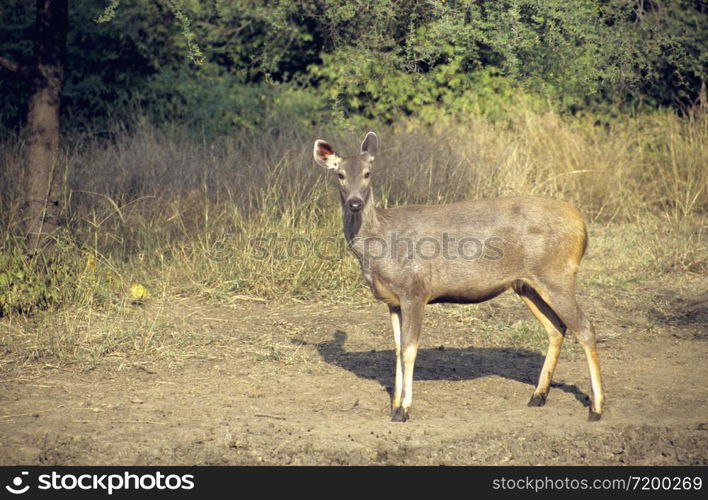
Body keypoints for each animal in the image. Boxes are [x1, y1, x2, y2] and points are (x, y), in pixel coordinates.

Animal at [312, 132, 604, 422]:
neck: (382, 243)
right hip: (526, 284)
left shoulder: (415, 290)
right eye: (339, 174)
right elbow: (396, 349)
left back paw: (596, 407)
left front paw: (404, 410)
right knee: (556, 328)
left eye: (367, 173)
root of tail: (582, 223)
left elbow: (409, 349)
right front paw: (394, 405)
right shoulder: (393, 301)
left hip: (557, 275)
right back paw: (538, 396)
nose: (355, 203)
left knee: (585, 328)